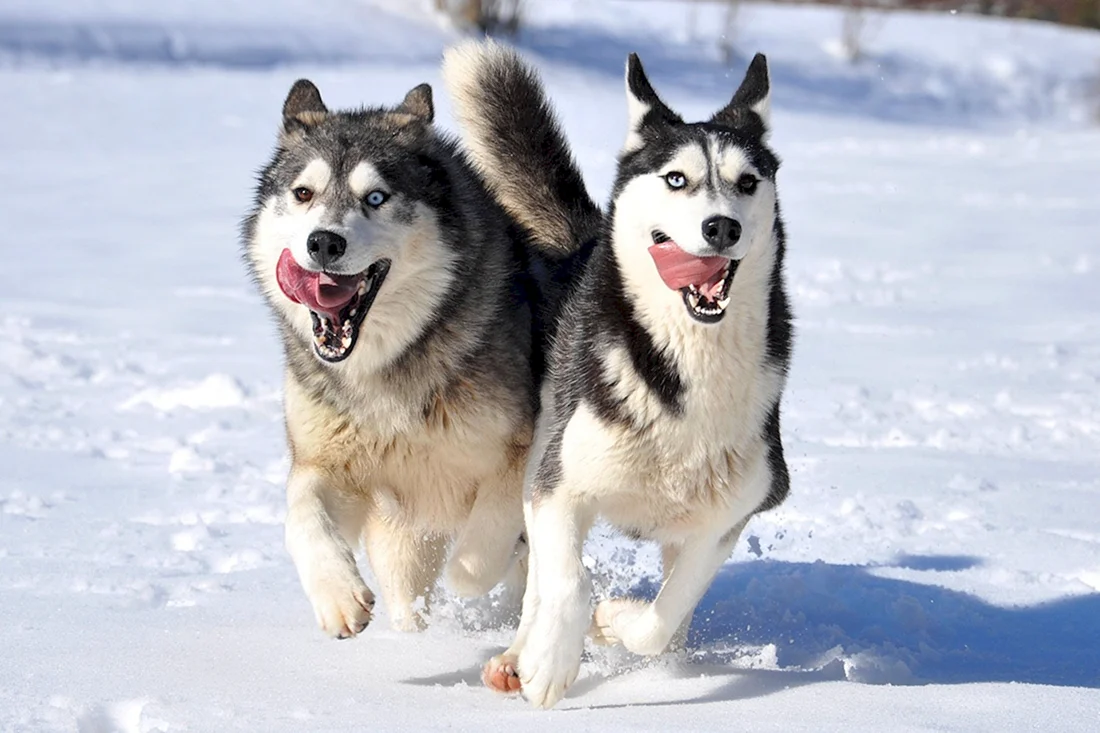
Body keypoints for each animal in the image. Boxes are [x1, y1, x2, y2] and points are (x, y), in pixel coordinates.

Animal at [240, 78, 536, 633]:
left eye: (375, 197)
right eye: (303, 194)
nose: (324, 242)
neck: (383, 369)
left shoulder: (520, 453)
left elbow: (489, 537)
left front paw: (475, 572)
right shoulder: (325, 465)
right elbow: (302, 516)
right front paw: (337, 595)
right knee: (405, 598)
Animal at [442, 42, 796, 704]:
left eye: (747, 182)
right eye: (677, 178)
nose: (722, 227)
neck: (686, 372)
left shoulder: (728, 516)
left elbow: (663, 614)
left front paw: (615, 624)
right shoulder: (558, 488)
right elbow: (568, 583)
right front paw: (552, 663)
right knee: (538, 582)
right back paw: (519, 655)